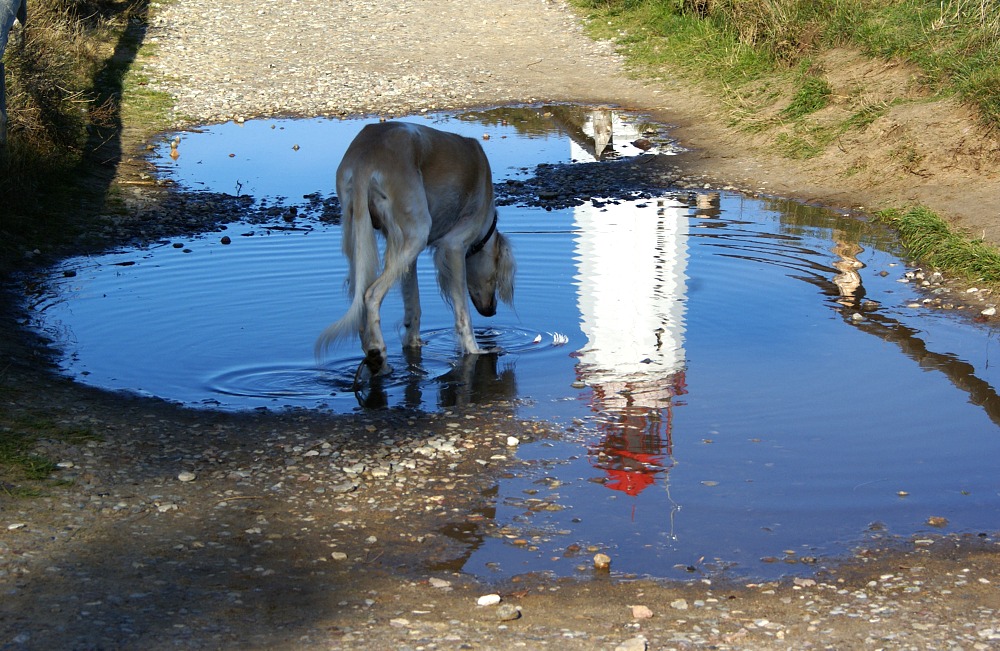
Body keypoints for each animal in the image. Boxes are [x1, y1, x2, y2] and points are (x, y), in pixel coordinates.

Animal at [316, 123, 516, 376]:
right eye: (495, 278)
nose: (492, 311)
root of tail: (365, 157)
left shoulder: (406, 257)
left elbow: (414, 306)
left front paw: (413, 343)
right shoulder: (454, 246)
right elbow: (463, 315)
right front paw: (475, 350)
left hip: (364, 233)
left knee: (359, 297)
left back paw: (371, 353)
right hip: (418, 232)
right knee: (371, 295)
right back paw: (378, 353)